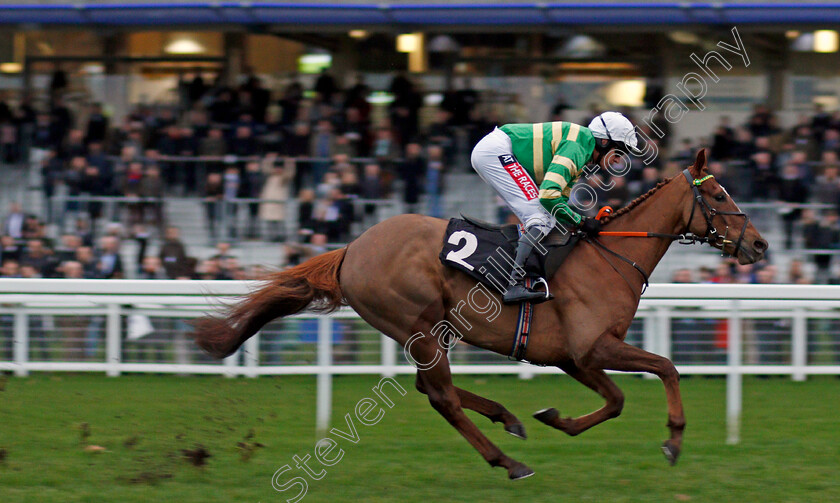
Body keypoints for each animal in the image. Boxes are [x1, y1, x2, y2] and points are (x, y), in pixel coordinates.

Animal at [195, 150, 768, 480]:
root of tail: (352, 249)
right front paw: (673, 439)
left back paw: (508, 418)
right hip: (418, 323)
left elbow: (617, 399)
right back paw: (507, 461)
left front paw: (554, 418)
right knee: (442, 397)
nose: (760, 245)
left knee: (433, 388)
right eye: (719, 194)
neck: (610, 256)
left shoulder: (575, 358)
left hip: (431, 331)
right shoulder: (593, 346)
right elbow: (666, 367)